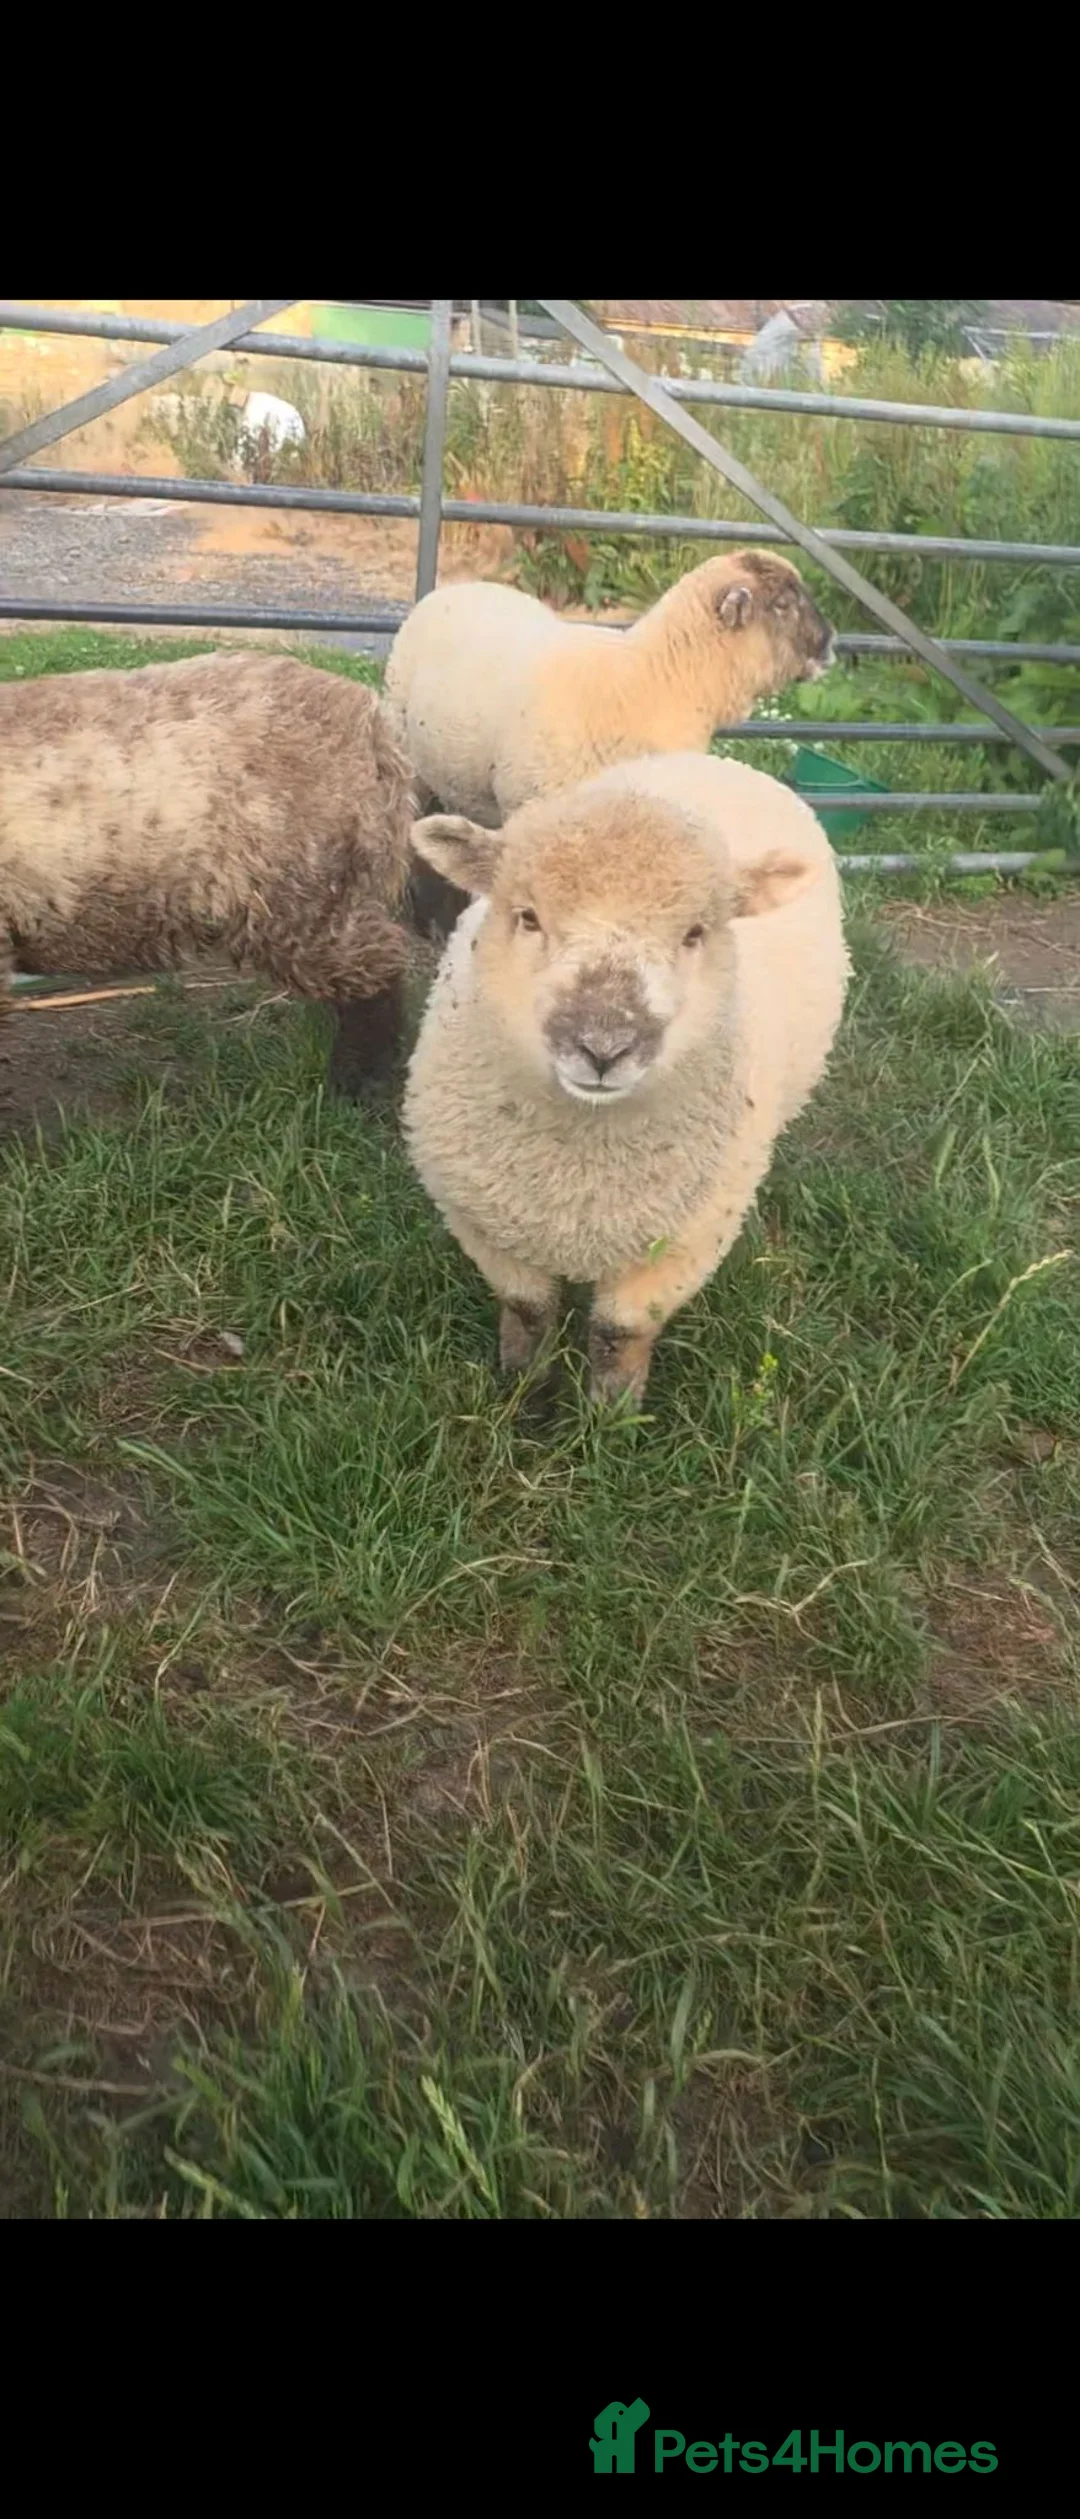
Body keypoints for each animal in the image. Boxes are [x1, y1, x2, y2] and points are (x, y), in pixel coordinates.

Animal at [403, 752, 849, 1407]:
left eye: (694, 933)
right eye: (528, 917)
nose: (603, 1048)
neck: (582, 1171)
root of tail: (706, 759)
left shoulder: (687, 1240)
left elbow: (620, 1332)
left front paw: (610, 1418)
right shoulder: (484, 1220)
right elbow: (527, 1310)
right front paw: (524, 1393)